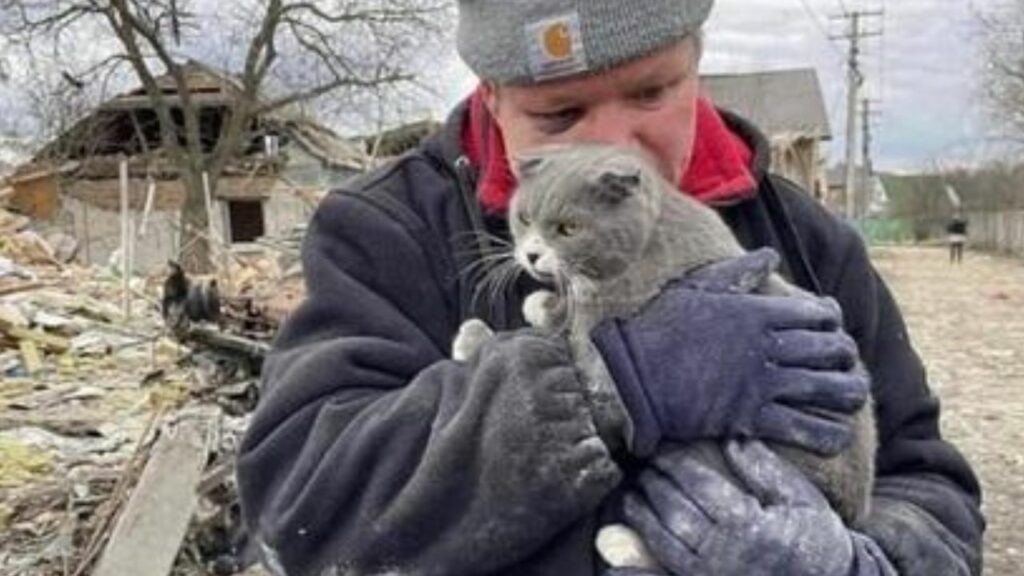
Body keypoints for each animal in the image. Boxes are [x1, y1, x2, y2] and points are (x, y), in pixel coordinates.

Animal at [452, 144, 876, 569]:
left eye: (569, 229)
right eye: (524, 218)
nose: (532, 254)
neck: (647, 238)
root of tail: (853, 505)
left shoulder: (606, 328)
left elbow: (567, 340)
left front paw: (495, 327)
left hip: (734, 452)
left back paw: (622, 543)